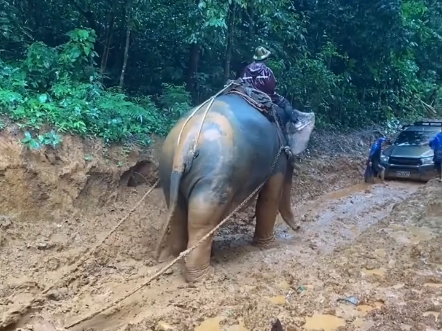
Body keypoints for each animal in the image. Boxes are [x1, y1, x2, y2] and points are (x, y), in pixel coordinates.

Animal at [155, 91, 314, 282]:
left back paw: (177, 256)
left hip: (167, 167)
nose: (299, 228)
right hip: (215, 175)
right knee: (202, 219)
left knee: (178, 211)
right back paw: (204, 276)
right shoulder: (278, 157)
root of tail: (185, 144)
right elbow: (270, 195)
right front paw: (269, 246)